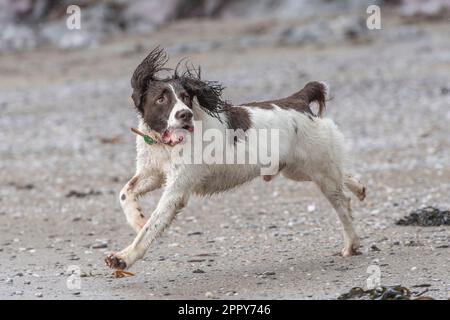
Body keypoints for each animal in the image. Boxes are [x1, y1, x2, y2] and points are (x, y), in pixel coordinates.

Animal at [104, 47, 366, 272]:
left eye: (186, 97)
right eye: (161, 99)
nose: (185, 114)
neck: (164, 144)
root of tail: (298, 100)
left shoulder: (177, 189)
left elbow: (151, 227)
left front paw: (123, 257)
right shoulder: (153, 172)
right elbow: (125, 192)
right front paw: (137, 219)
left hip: (318, 169)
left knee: (342, 203)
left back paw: (351, 244)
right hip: (298, 169)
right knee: (342, 176)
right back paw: (359, 187)